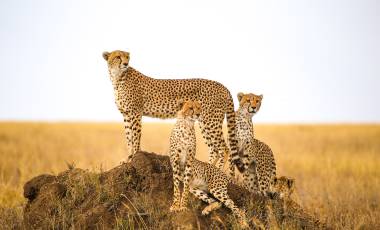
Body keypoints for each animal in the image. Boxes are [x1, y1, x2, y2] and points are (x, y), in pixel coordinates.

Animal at [103, 49, 240, 172]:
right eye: (118, 57)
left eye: (127, 57)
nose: (126, 63)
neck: (117, 77)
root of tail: (223, 86)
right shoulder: (126, 114)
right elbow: (128, 138)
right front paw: (128, 158)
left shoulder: (135, 113)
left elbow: (135, 137)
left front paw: (134, 157)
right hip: (203, 122)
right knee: (214, 149)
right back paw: (208, 169)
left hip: (210, 121)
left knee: (224, 149)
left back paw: (218, 172)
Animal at [169, 99, 249, 228]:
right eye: (190, 108)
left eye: (198, 108)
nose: (198, 114)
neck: (186, 125)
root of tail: (222, 173)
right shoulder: (175, 162)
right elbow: (177, 187)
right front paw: (175, 206)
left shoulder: (189, 162)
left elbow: (184, 190)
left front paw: (183, 206)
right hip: (197, 190)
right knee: (218, 202)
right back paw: (207, 209)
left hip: (217, 189)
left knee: (235, 207)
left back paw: (243, 223)